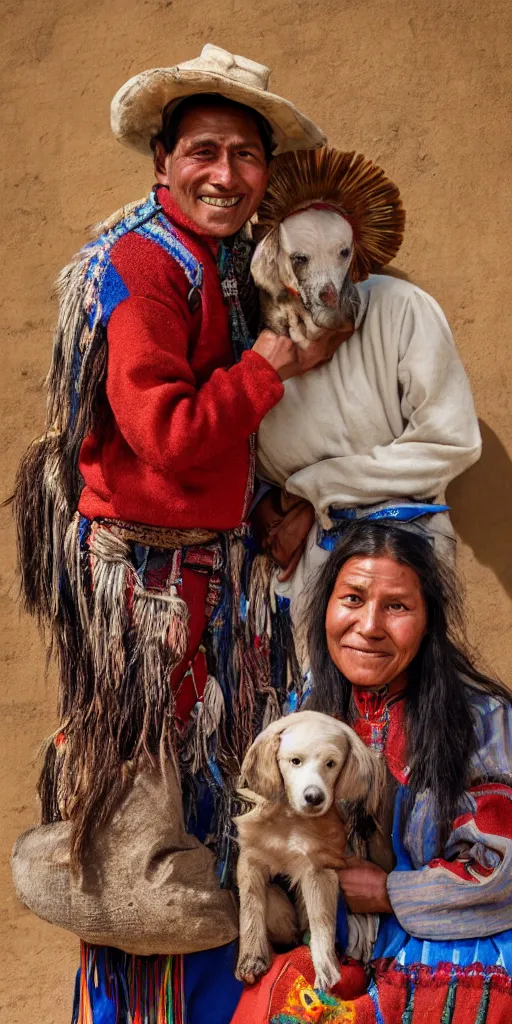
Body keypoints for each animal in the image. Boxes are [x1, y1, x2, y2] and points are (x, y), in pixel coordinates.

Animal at [234, 712, 382, 991]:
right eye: (295, 761)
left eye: (331, 763)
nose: (314, 797)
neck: (290, 819)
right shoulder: (251, 857)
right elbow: (250, 905)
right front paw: (250, 959)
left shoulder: (319, 867)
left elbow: (321, 919)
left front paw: (326, 969)